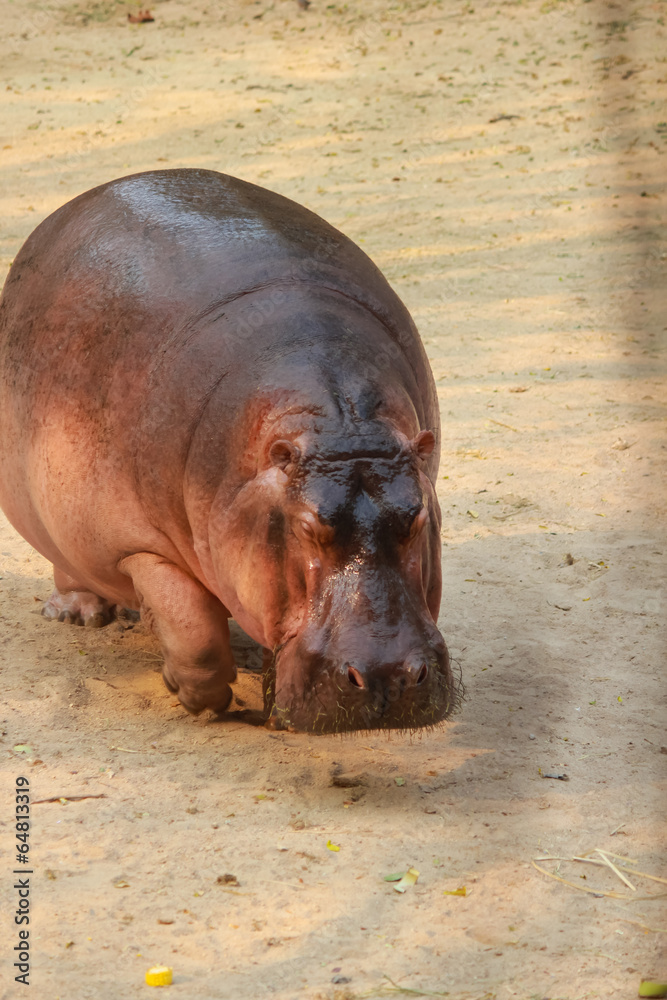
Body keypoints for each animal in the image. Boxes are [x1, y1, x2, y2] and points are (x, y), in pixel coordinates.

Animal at [0, 169, 453, 733]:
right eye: (308, 527)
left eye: (416, 518)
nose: (386, 676)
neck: (338, 426)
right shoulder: (136, 544)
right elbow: (192, 630)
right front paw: (201, 702)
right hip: (55, 515)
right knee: (70, 561)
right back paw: (80, 614)